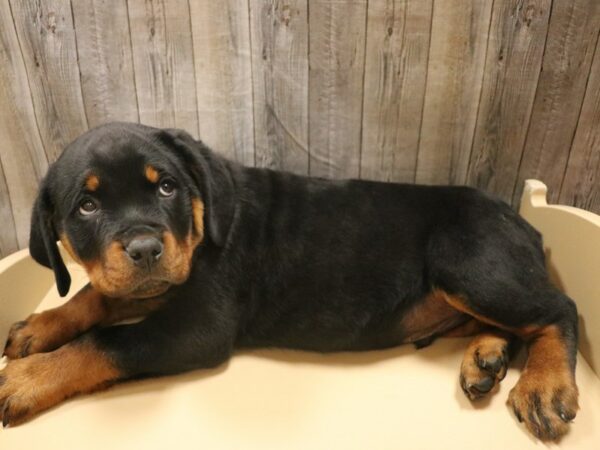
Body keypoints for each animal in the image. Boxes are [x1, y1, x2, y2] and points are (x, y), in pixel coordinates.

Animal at [1, 122, 580, 440]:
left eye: (166, 186)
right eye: (87, 206)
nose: (146, 249)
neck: (206, 219)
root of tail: (524, 220)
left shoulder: (197, 328)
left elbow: (106, 342)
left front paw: (25, 379)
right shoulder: (148, 285)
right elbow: (96, 295)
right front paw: (40, 326)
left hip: (468, 262)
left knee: (557, 308)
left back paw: (545, 385)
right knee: (518, 320)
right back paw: (487, 356)